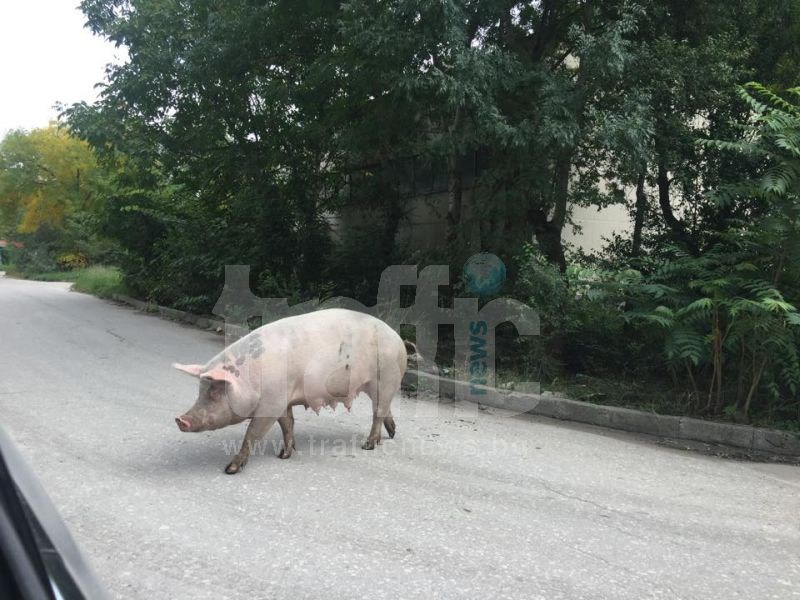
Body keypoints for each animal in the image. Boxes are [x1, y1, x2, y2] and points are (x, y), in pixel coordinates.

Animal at [169, 310, 406, 474]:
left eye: (215, 392)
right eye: (200, 390)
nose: (180, 419)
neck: (250, 379)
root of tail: (399, 339)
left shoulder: (270, 404)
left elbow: (252, 434)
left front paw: (230, 469)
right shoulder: (282, 400)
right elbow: (287, 424)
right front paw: (283, 455)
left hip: (384, 378)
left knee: (378, 411)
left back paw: (368, 445)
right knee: (385, 410)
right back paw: (392, 433)